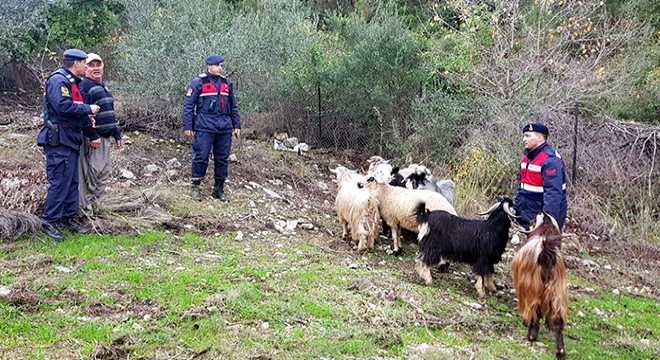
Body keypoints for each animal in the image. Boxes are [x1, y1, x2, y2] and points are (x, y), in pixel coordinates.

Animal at [510, 212, 568, 358]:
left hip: (532, 287)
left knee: (533, 310)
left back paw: (531, 335)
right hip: (557, 290)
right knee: (558, 319)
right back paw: (560, 351)